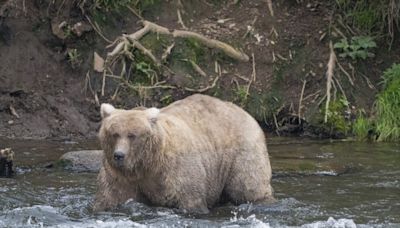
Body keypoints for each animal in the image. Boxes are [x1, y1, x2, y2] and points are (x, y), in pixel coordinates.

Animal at [94, 93, 276, 213]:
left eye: (132, 135)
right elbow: (111, 197)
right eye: (114, 134)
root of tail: (245, 112)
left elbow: (190, 199)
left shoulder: (176, 170)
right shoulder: (120, 177)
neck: (148, 164)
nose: (119, 155)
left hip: (241, 152)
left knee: (248, 186)